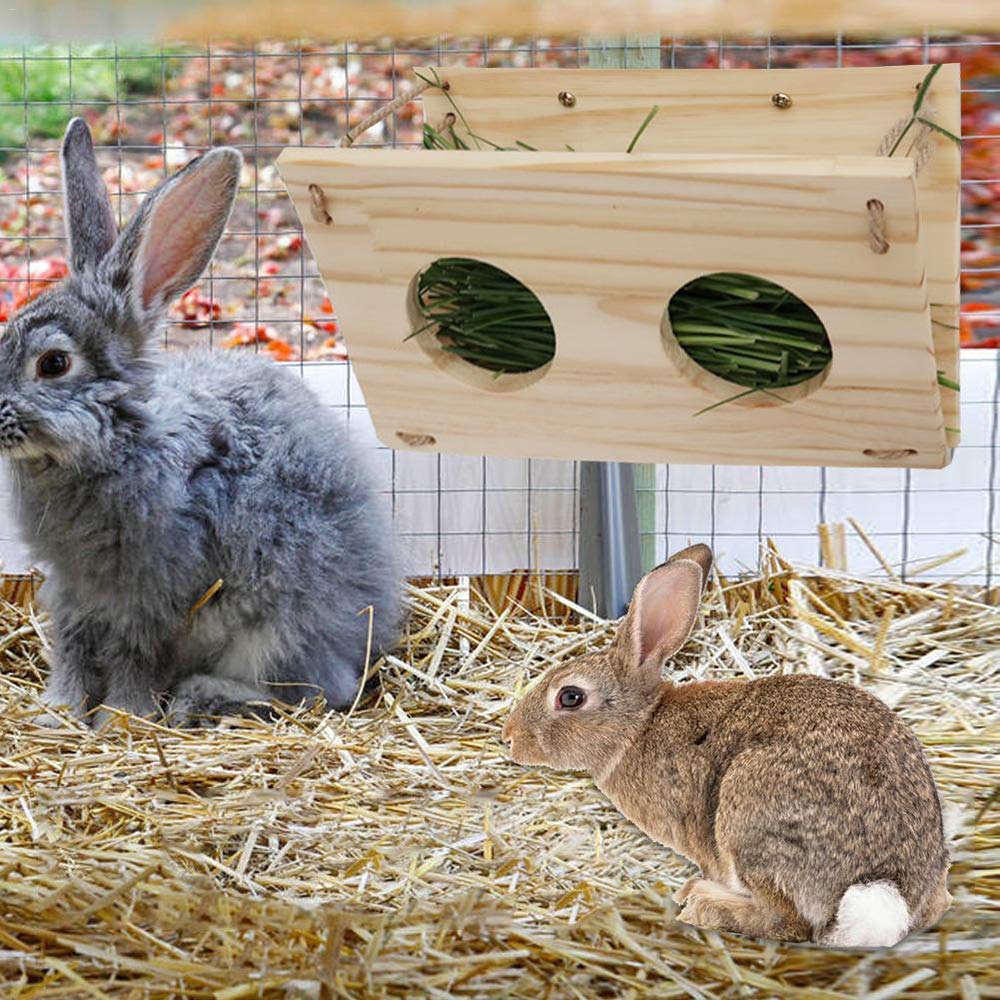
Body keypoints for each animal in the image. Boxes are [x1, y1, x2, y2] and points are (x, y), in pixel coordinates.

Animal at [0, 118, 400, 726]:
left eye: (53, 364)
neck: (121, 441)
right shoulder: (72, 591)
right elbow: (72, 648)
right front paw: (59, 712)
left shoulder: (151, 596)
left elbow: (133, 656)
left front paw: (123, 718)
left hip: (277, 630)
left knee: (317, 691)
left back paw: (201, 697)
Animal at [502, 544, 951, 947]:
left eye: (570, 697)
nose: (510, 737)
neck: (640, 726)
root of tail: (884, 885)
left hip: (748, 814)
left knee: (789, 922)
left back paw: (704, 904)